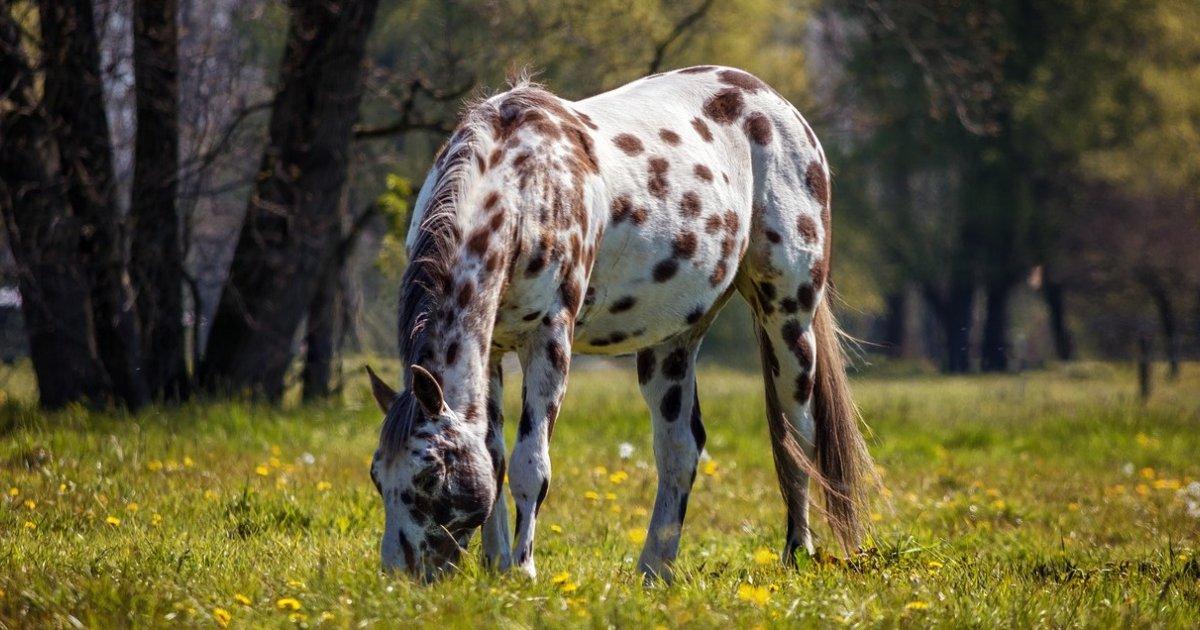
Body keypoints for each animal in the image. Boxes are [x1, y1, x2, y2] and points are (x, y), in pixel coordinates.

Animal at [365, 65, 876, 582]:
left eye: (430, 475)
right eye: (376, 475)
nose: (400, 577)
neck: (524, 187)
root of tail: (776, 104)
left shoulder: (549, 339)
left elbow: (532, 466)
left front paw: (522, 572)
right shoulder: (492, 351)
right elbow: (495, 457)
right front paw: (496, 566)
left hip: (788, 319)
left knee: (797, 439)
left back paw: (797, 553)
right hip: (672, 343)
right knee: (679, 451)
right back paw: (655, 570)